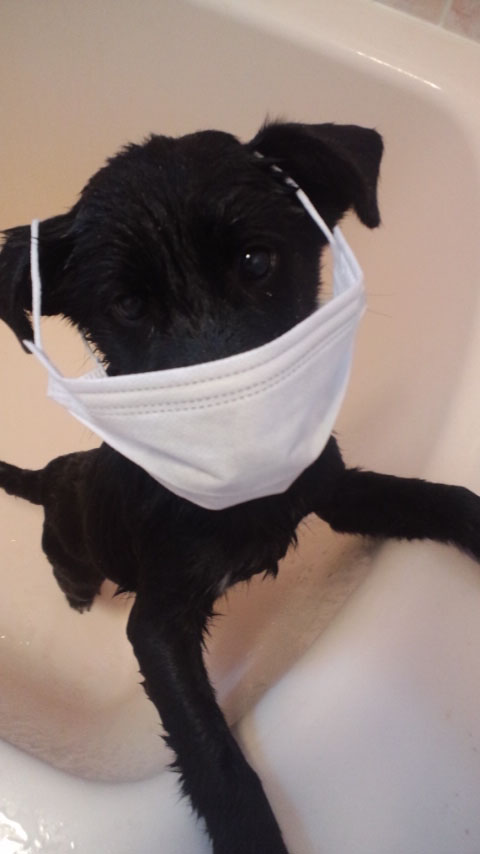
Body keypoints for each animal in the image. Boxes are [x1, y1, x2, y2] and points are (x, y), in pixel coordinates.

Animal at [1, 121, 480, 854]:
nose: (236, 432)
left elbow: (429, 498)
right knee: (69, 572)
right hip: (71, 549)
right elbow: (211, 753)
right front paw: (250, 830)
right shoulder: (158, 625)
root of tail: (57, 471)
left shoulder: (330, 489)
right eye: (128, 305)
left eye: (257, 261)